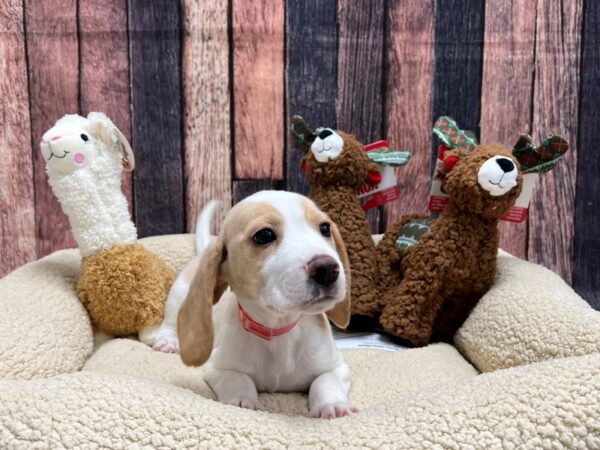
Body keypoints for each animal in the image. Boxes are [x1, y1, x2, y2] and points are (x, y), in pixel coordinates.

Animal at [157, 190, 358, 418]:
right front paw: (242, 402)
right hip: (178, 294)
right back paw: (168, 342)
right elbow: (238, 379)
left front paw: (332, 405)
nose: (327, 269)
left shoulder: (338, 367)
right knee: (170, 322)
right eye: (264, 235)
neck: (278, 330)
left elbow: (325, 381)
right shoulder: (218, 368)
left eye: (324, 228)